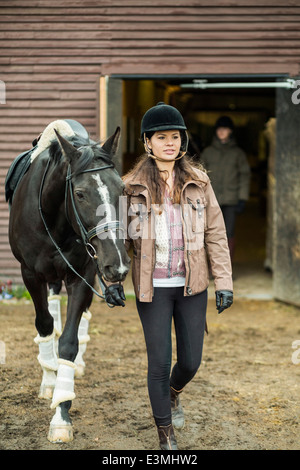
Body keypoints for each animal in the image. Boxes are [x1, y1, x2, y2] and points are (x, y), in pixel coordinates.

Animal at [7, 119, 131, 442]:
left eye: (122, 188)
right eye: (80, 193)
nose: (118, 264)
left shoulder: (83, 274)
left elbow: (69, 342)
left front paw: (61, 414)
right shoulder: (30, 274)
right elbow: (45, 324)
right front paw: (51, 381)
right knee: (51, 308)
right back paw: (49, 372)